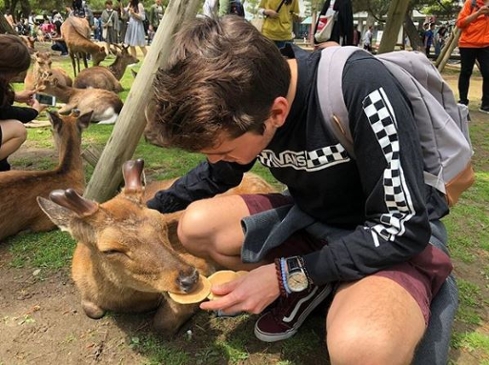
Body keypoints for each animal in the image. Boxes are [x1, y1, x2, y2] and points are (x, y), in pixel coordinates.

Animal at [36, 158, 276, 334]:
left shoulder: (202, 264)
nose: (190, 278)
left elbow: (162, 324)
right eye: (110, 249)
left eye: (161, 223)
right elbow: (91, 309)